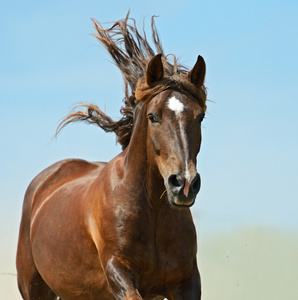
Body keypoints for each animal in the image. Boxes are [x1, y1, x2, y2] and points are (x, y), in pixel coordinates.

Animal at [16, 14, 207, 300]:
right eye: (153, 116)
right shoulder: (119, 272)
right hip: (34, 287)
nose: (183, 184)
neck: (152, 211)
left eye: (200, 116)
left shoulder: (186, 281)